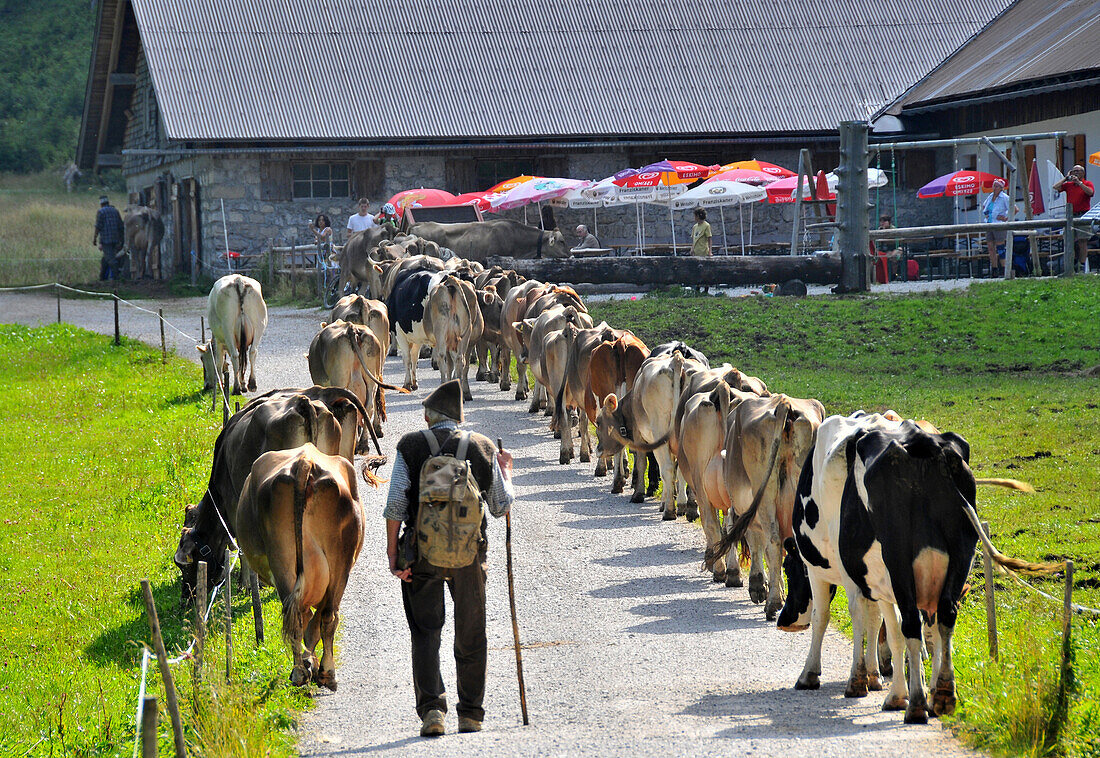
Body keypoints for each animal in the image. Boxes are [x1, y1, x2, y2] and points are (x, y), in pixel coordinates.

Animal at [235, 444, 365, 690]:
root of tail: (305, 462)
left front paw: (309, 662)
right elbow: (312, 626)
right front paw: (311, 663)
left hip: (286, 559)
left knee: (301, 617)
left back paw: (301, 672)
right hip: (338, 563)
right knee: (325, 616)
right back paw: (324, 673)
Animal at [778, 411, 1051, 726]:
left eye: (789, 569)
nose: (783, 621)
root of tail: (923, 442)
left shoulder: (831, 571)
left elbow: (837, 618)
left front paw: (826, 676)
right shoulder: (876, 578)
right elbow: (883, 623)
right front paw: (879, 677)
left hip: (898, 560)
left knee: (909, 623)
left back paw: (915, 703)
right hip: (959, 555)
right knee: (943, 617)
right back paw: (941, 695)